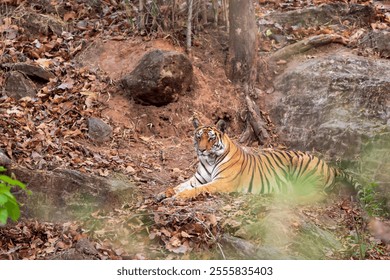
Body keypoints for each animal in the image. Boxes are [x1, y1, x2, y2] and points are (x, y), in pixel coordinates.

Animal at [159, 117, 362, 200]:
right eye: (198, 136)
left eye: (211, 138)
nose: (201, 150)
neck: (209, 160)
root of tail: (329, 166)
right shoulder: (197, 179)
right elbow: (180, 185)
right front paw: (164, 193)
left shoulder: (222, 182)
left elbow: (198, 189)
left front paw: (180, 197)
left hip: (304, 170)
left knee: (317, 194)